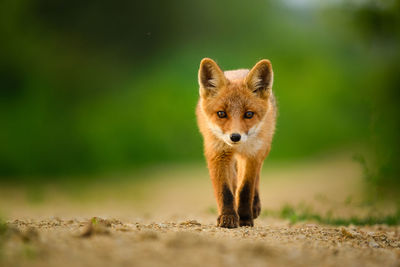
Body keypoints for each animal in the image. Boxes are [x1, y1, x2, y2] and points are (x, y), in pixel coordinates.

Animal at [195, 58, 276, 228]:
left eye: (249, 114)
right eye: (221, 113)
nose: (235, 137)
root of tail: (238, 70)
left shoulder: (252, 154)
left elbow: (246, 189)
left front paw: (245, 217)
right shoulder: (217, 154)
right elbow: (225, 191)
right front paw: (228, 217)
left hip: (264, 148)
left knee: (255, 178)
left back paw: (254, 206)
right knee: (233, 181)